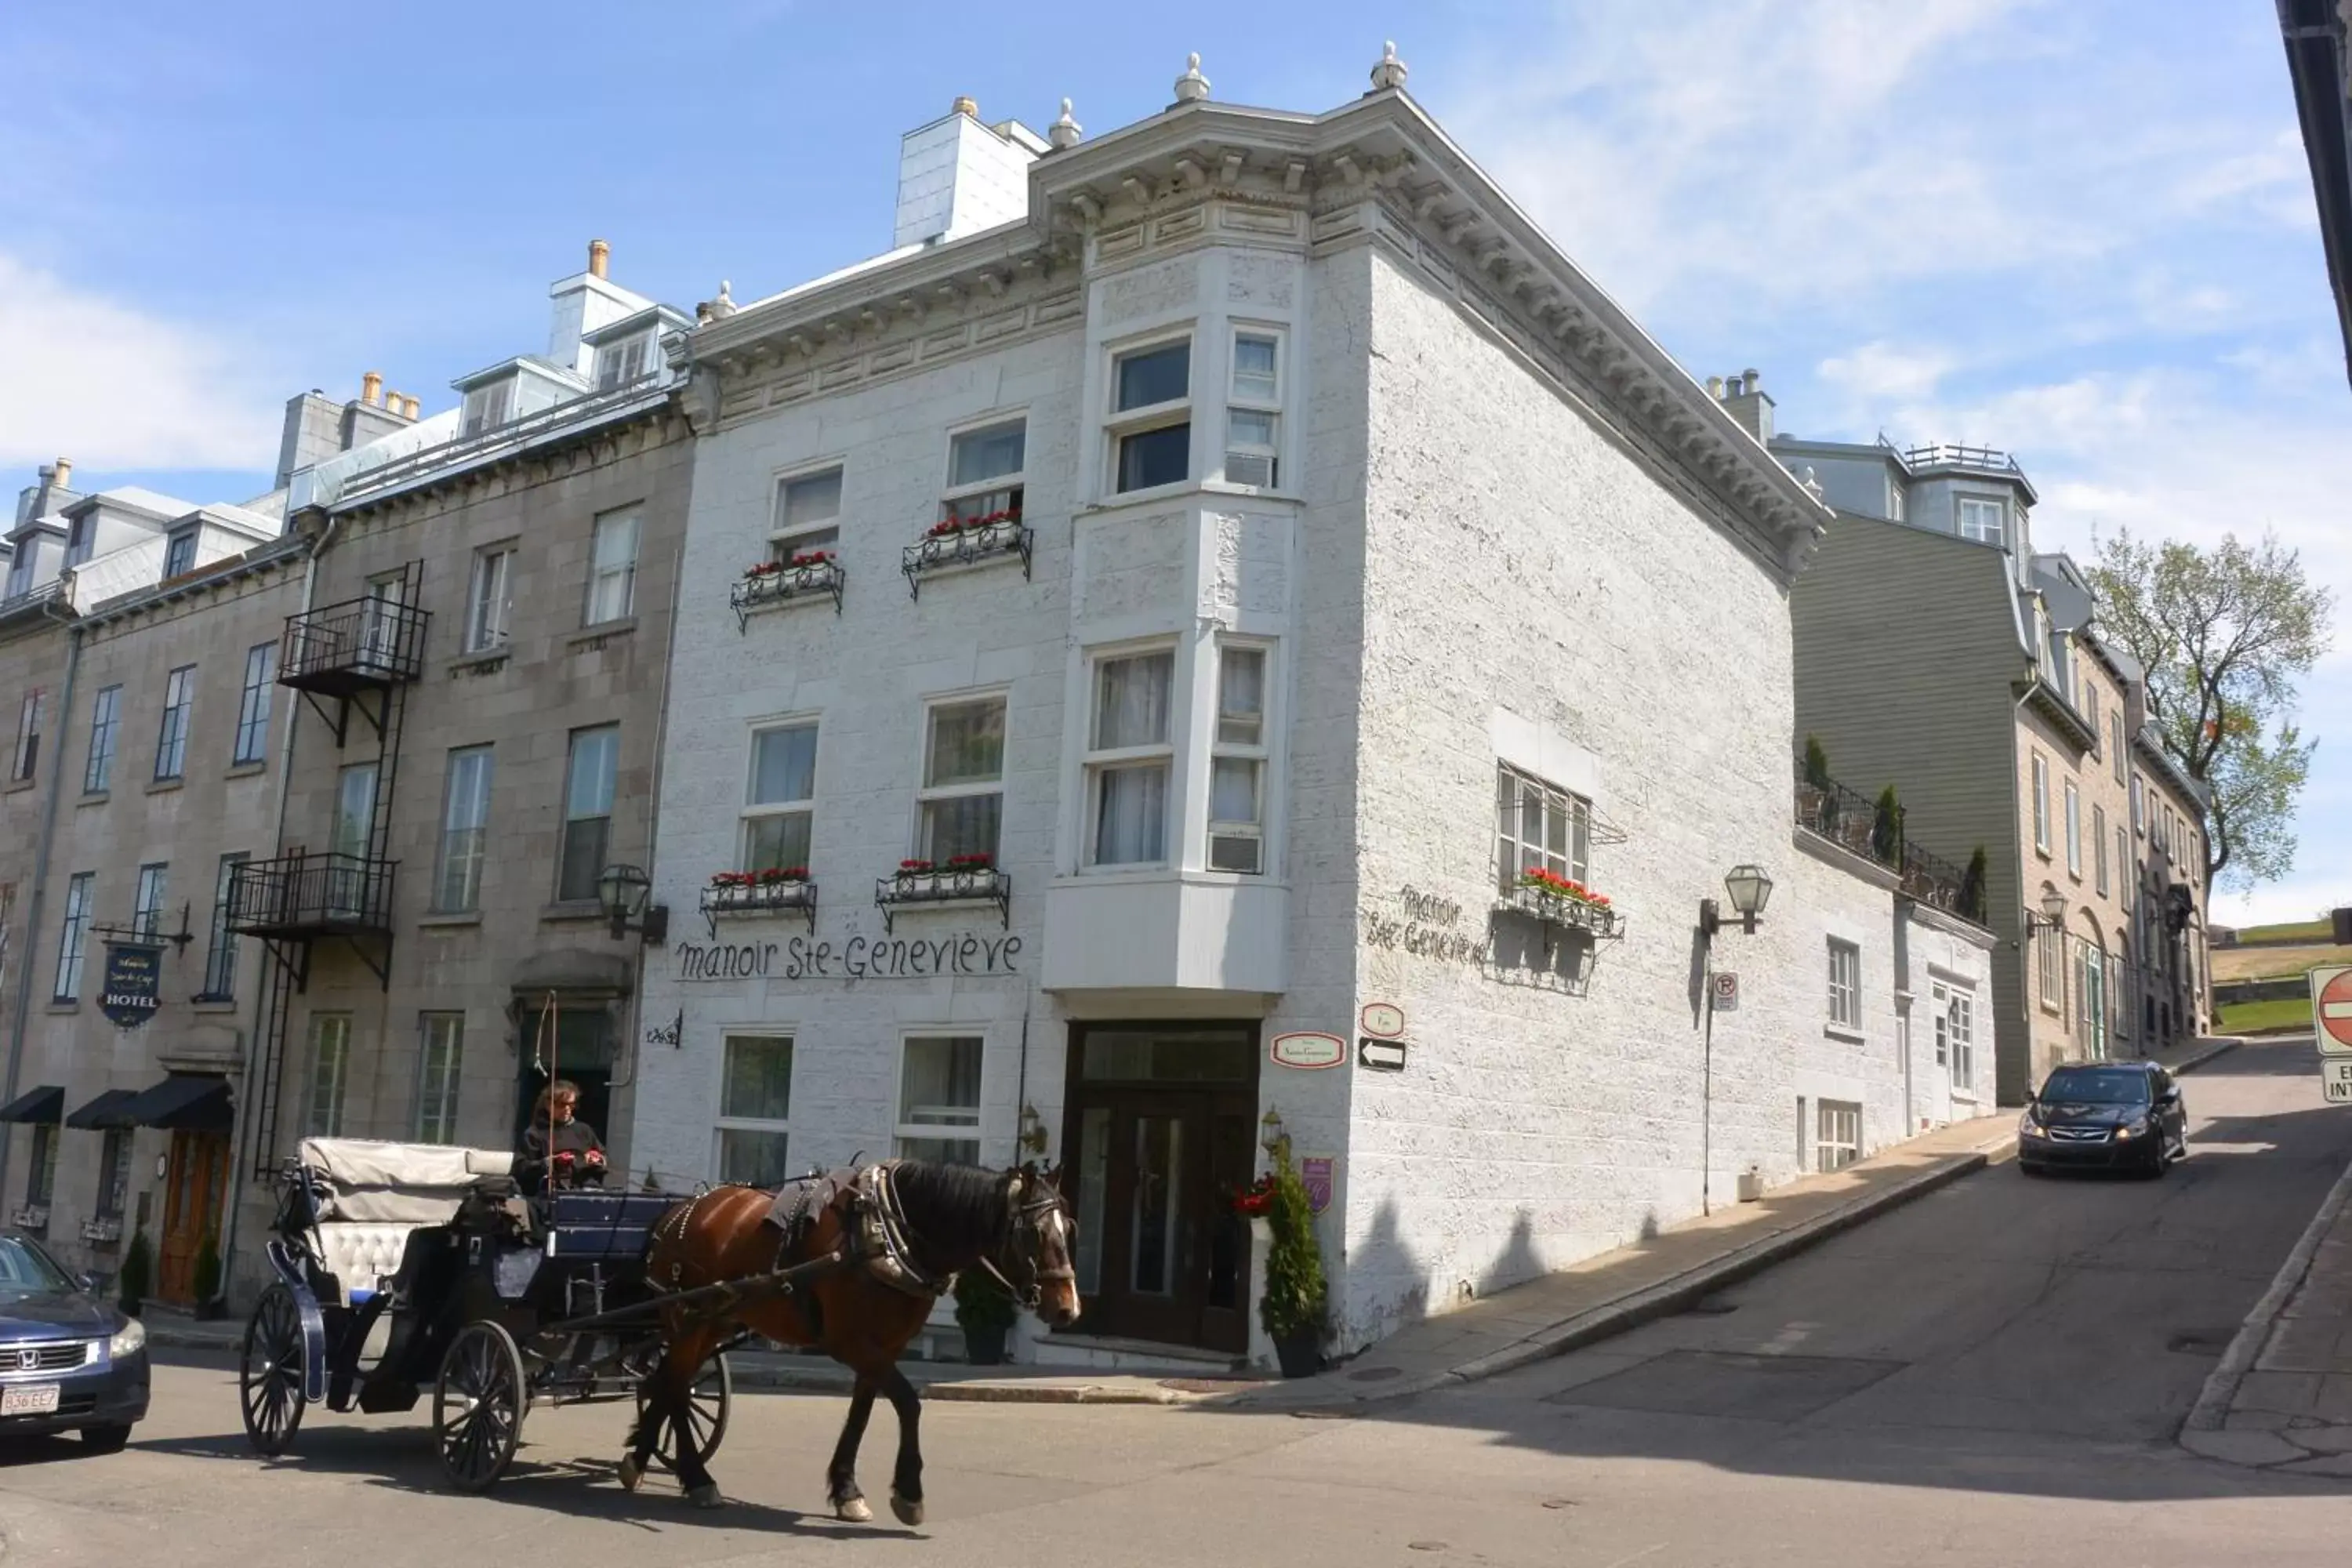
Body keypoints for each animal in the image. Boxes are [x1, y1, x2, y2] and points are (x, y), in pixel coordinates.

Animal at [616, 1166, 1077, 1523]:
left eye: (1068, 1229)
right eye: (1034, 1234)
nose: (1068, 1309)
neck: (885, 1238)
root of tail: (682, 1210)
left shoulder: (884, 1347)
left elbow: (861, 1413)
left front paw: (847, 1491)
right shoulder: (849, 1341)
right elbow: (908, 1402)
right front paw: (909, 1493)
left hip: (715, 1321)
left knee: (670, 1382)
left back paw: (641, 1459)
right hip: (688, 1318)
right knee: (676, 1386)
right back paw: (696, 1479)